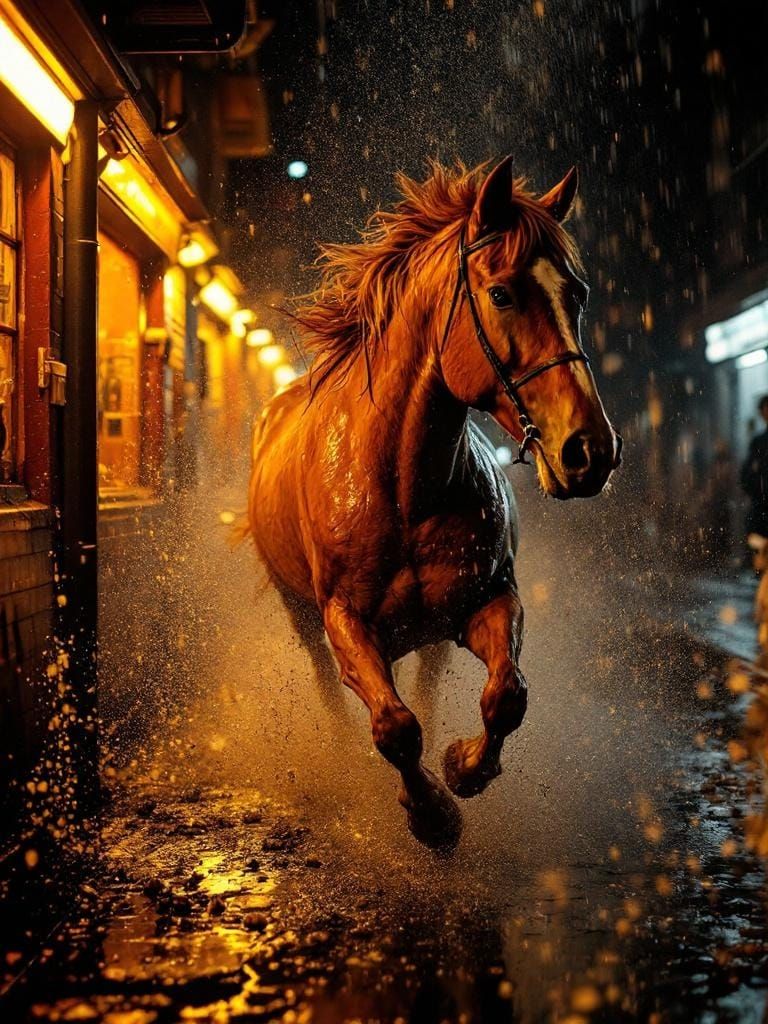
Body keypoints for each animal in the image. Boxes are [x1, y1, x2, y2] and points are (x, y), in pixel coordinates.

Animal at [247, 157, 621, 849]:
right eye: (500, 293)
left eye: (577, 294)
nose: (591, 450)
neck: (402, 493)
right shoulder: (346, 624)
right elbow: (395, 728)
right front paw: (431, 815)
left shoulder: (487, 602)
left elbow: (505, 697)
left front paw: (463, 768)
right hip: (301, 615)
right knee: (333, 692)